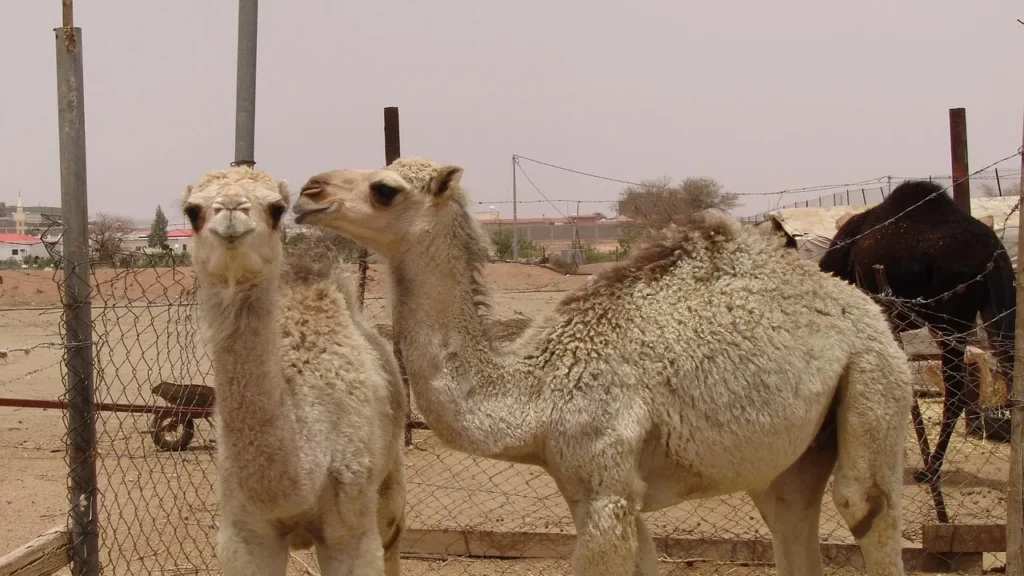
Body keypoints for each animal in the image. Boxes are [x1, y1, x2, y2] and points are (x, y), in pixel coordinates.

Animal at [182, 166, 407, 576]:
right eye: (193, 211)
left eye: (276, 209)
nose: (231, 211)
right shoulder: (245, 535)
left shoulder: (352, 535)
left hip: (390, 479)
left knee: (394, 537)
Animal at [292, 157, 912, 576]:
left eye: (385, 189)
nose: (308, 191)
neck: (535, 395)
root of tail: (860, 307)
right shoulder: (595, 488)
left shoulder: (605, 484)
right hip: (789, 458)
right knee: (790, 514)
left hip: (873, 372)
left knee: (864, 503)